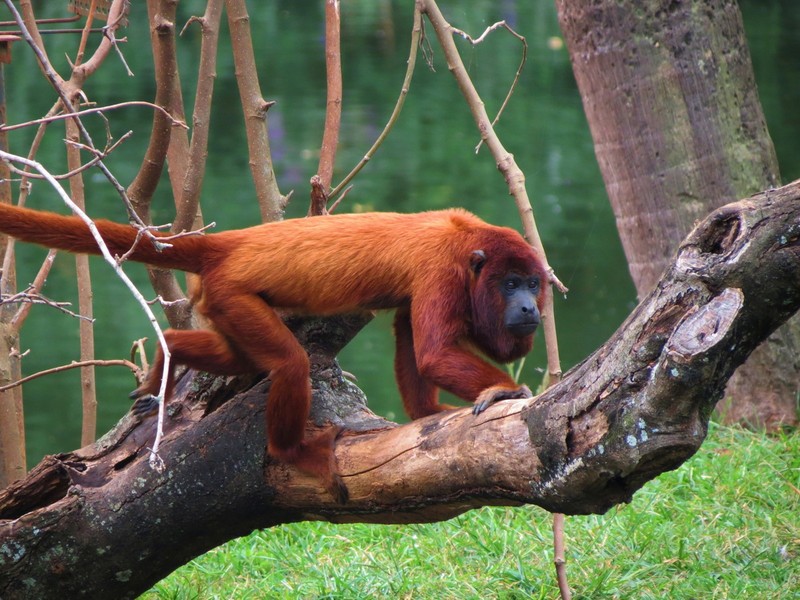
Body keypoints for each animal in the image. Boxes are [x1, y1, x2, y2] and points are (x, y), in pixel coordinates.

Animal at [0, 204, 544, 504]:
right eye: (510, 284)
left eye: (534, 283)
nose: (531, 306)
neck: (467, 246)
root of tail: (225, 246)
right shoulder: (441, 270)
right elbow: (431, 351)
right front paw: (503, 390)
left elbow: (411, 336)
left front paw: (426, 413)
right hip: (232, 294)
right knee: (289, 365)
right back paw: (294, 451)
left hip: (221, 303)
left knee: (235, 359)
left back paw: (169, 354)